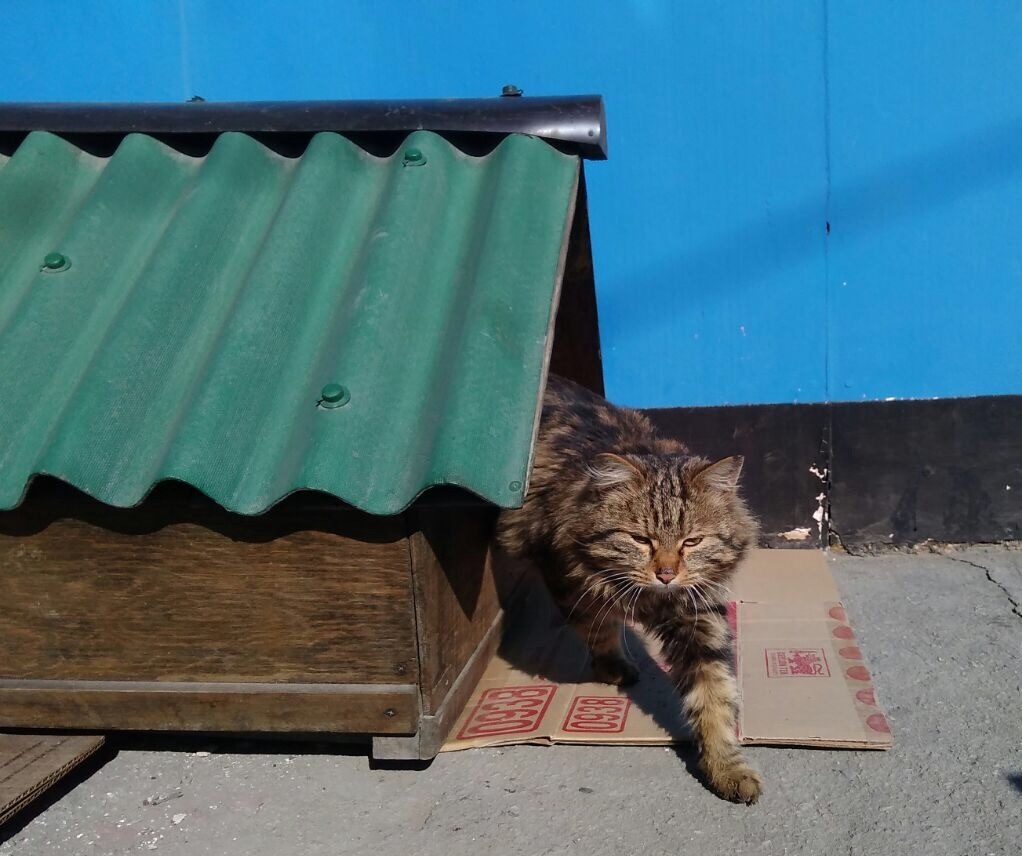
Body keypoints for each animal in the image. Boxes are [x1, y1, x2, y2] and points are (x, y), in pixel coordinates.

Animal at [494, 373, 760, 804]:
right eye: (640, 540)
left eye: (691, 542)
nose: (666, 574)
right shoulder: (568, 581)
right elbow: (598, 629)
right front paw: (613, 665)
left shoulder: (697, 616)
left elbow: (714, 695)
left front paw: (726, 767)